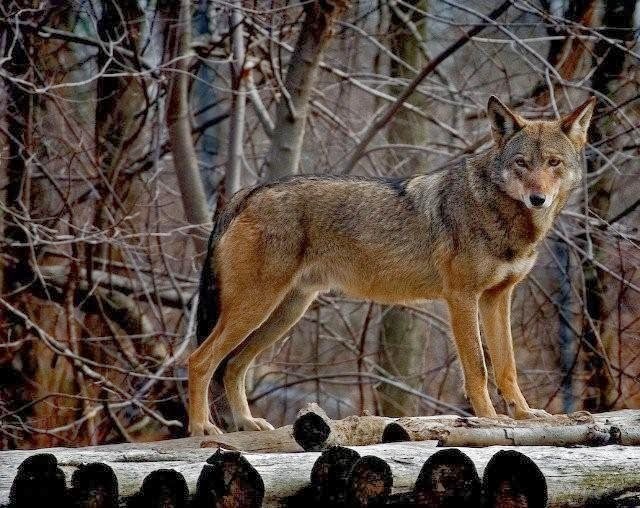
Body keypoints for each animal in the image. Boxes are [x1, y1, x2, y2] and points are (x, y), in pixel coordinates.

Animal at [188, 96, 595, 435]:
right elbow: (478, 369)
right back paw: (202, 428)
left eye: (554, 163)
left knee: (234, 365)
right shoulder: (462, 298)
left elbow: (507, 365)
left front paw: (525, 414)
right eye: (521, 163)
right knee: (200, 359)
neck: (500, 213)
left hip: (283, 313)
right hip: (256, 308)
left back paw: (246, 422)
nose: (538, 198)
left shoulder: (497, 298)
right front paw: (489, 420)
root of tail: (247, 193)